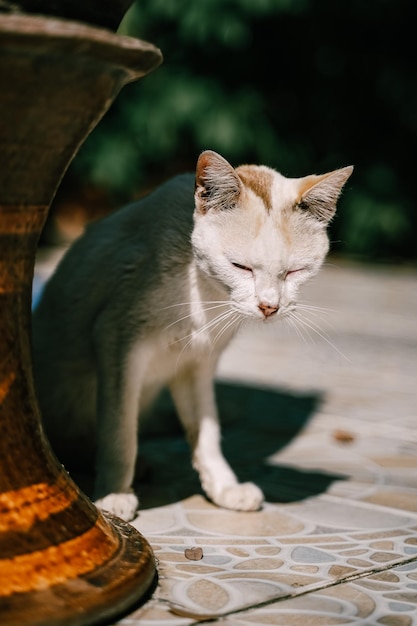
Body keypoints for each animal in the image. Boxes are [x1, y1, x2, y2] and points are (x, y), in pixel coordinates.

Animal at [31, 149, 352, 520]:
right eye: (240, 267)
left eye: (295, 272)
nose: (269, 306)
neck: (203, 292)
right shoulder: (117, 341)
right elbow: (119, 431)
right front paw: (114, 494)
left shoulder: (197, 362)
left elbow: (206, 431)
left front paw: (224, 488)